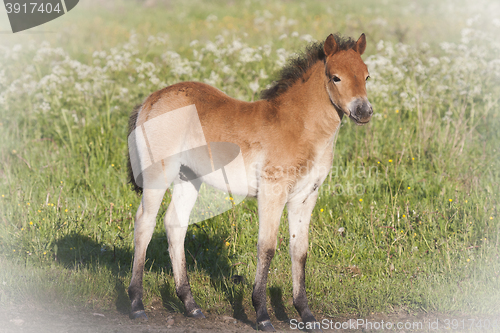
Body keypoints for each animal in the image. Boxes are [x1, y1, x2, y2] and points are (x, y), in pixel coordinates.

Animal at [127, 33, 374, 330]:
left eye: (367, 76)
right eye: (336, 77)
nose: (364, 111)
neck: (299, 127)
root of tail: (150, 100)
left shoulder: (305, 196)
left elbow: (299, 250)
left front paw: (306, 313)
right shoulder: (272, 192)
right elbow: (266, 248)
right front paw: (262, 315)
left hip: (188, 178)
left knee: (175, 224)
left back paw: (191, 305)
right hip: (158, 175)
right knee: (144, 223)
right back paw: (136, 304)